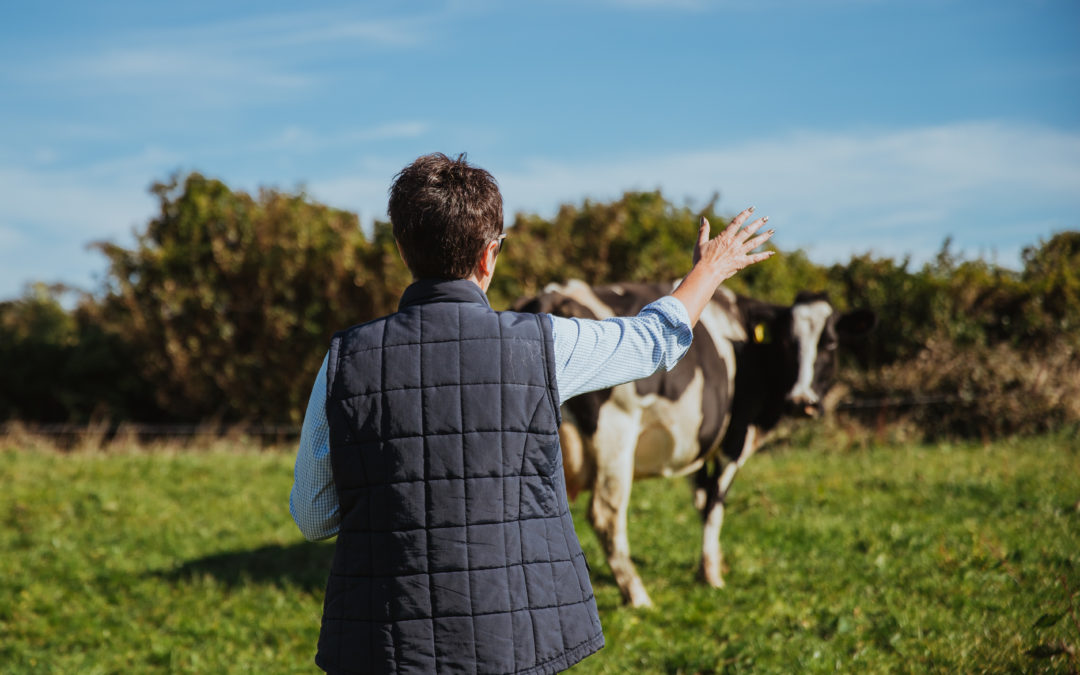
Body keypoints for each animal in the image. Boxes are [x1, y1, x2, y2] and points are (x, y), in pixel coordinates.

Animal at [514, 278, 876, 604]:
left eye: (830, 344)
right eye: (788, 343)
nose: (802, 401)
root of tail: (551, 296)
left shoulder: (697, 444)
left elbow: (701, 501)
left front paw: (713, 565)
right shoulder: (734, 439)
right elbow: (716, 504)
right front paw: (712, 576)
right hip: (615, 438)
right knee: (606, 516)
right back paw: (638, 596)